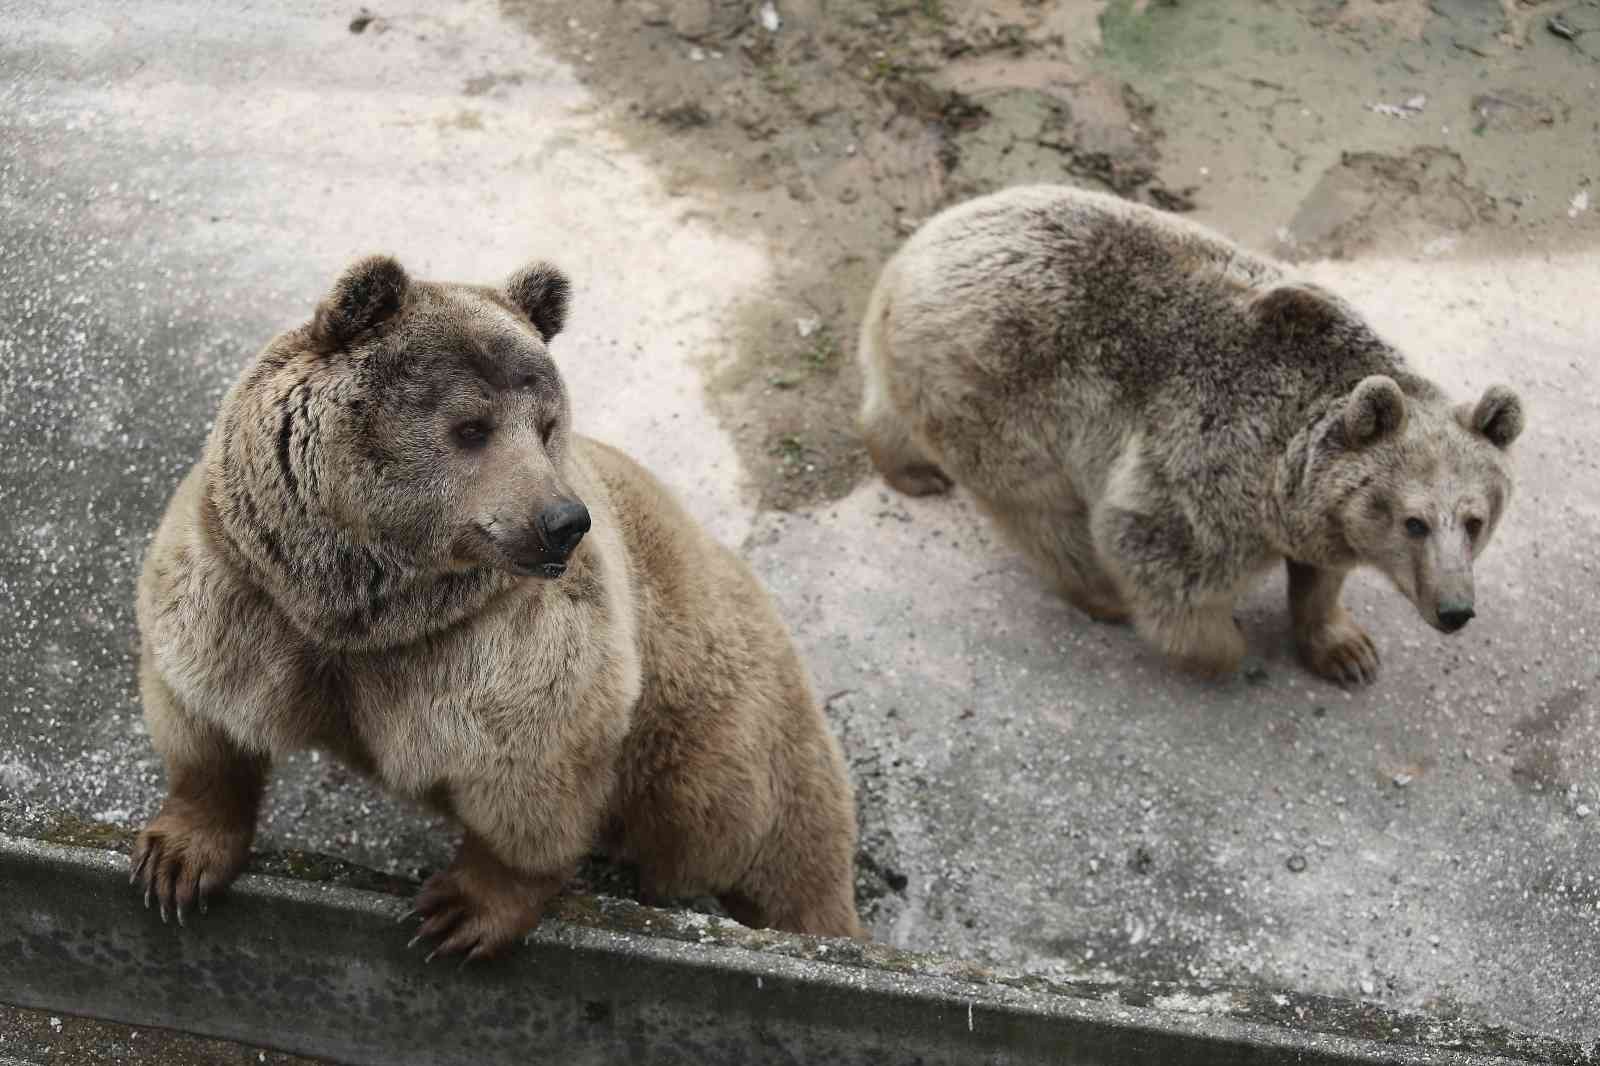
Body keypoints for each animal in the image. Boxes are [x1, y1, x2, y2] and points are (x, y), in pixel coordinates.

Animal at [134, 256, 864, 953]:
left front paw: (459, 914)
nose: (564, 520)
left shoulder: (508, 641)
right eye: (471, 427)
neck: (365, 608)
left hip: (721, 731)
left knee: (778, 844)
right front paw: (177, 861)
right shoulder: (251, 590)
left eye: (545, 426)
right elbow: (205, 713)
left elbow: (530, 768)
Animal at [864, 184, 1523, 681]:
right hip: (1003, 393)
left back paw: (909, 468)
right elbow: (1157, 555)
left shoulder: (1315, 506)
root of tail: (906, 260)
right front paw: (1228, 645)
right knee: (1043, 513)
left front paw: (1347, 651)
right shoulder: (1212, 462)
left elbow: (1321, 575)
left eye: (1475, 521)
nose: (1455, 609)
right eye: (1413, 522)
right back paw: (1101, 595)